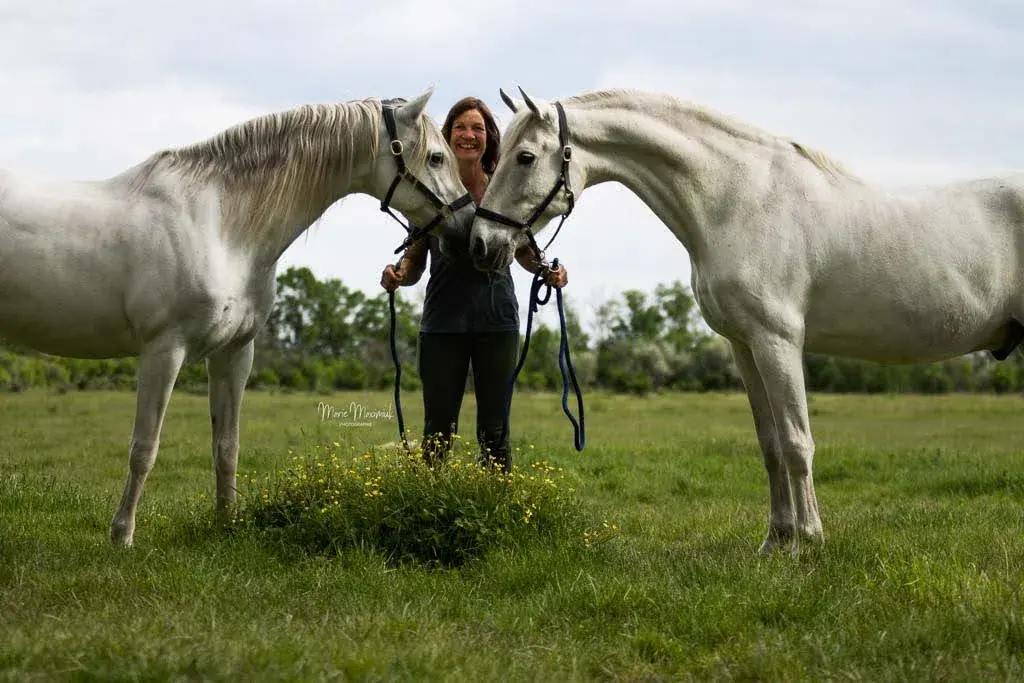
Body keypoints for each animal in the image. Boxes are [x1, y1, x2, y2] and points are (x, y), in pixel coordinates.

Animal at [0, 88, 473, 546]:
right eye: (436, 157)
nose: (468, 227)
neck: (221, 226)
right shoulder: (163, 352)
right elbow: (144, 449)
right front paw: (122, 536)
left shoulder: (233, 353)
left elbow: (226, 445)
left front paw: (227, 523)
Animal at [470, 87, 1024, 553]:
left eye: (524, 157)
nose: (480, 244)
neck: (739, 200)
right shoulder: (745, 345)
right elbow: (771, 444)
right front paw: (775, 543)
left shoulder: (778, 341)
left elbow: (798, 442)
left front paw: (809, 543)